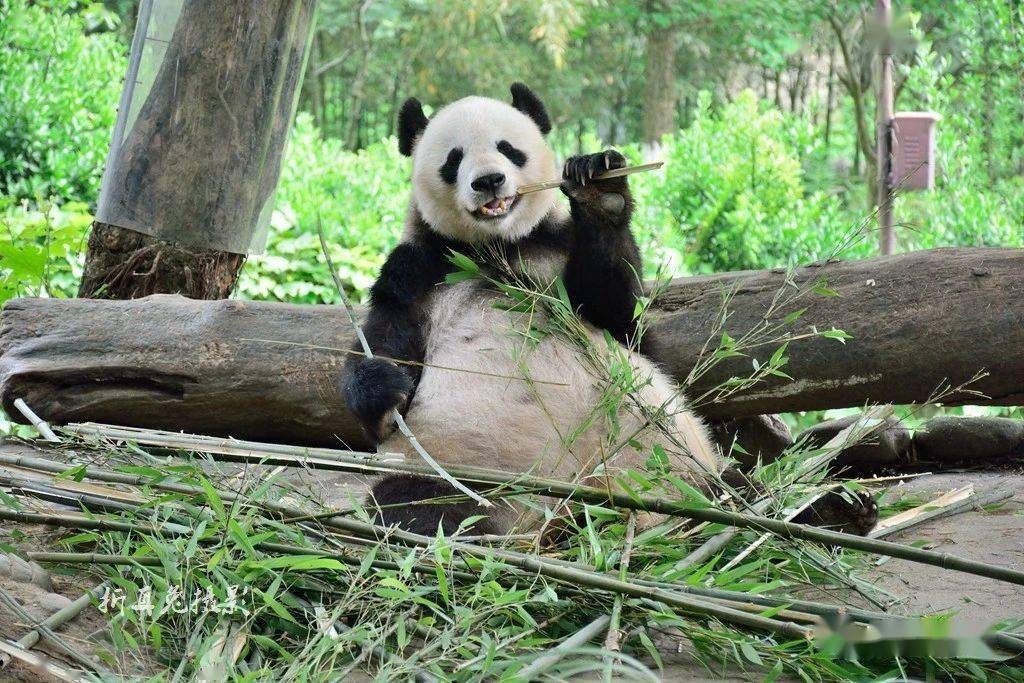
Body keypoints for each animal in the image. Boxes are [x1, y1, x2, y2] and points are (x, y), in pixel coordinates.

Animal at [339, 81, 876, 540]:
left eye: (509, 149)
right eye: (454, 159)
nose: (489, 181)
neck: (498, 248)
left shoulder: (555, 254)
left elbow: (620, 317)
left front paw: (600, 189)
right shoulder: (419, 269)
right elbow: (380, 355)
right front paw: (386, 387)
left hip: (682, 467)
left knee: (740, 489)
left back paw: (830, 509)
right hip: (468, 468)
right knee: (419, 503)